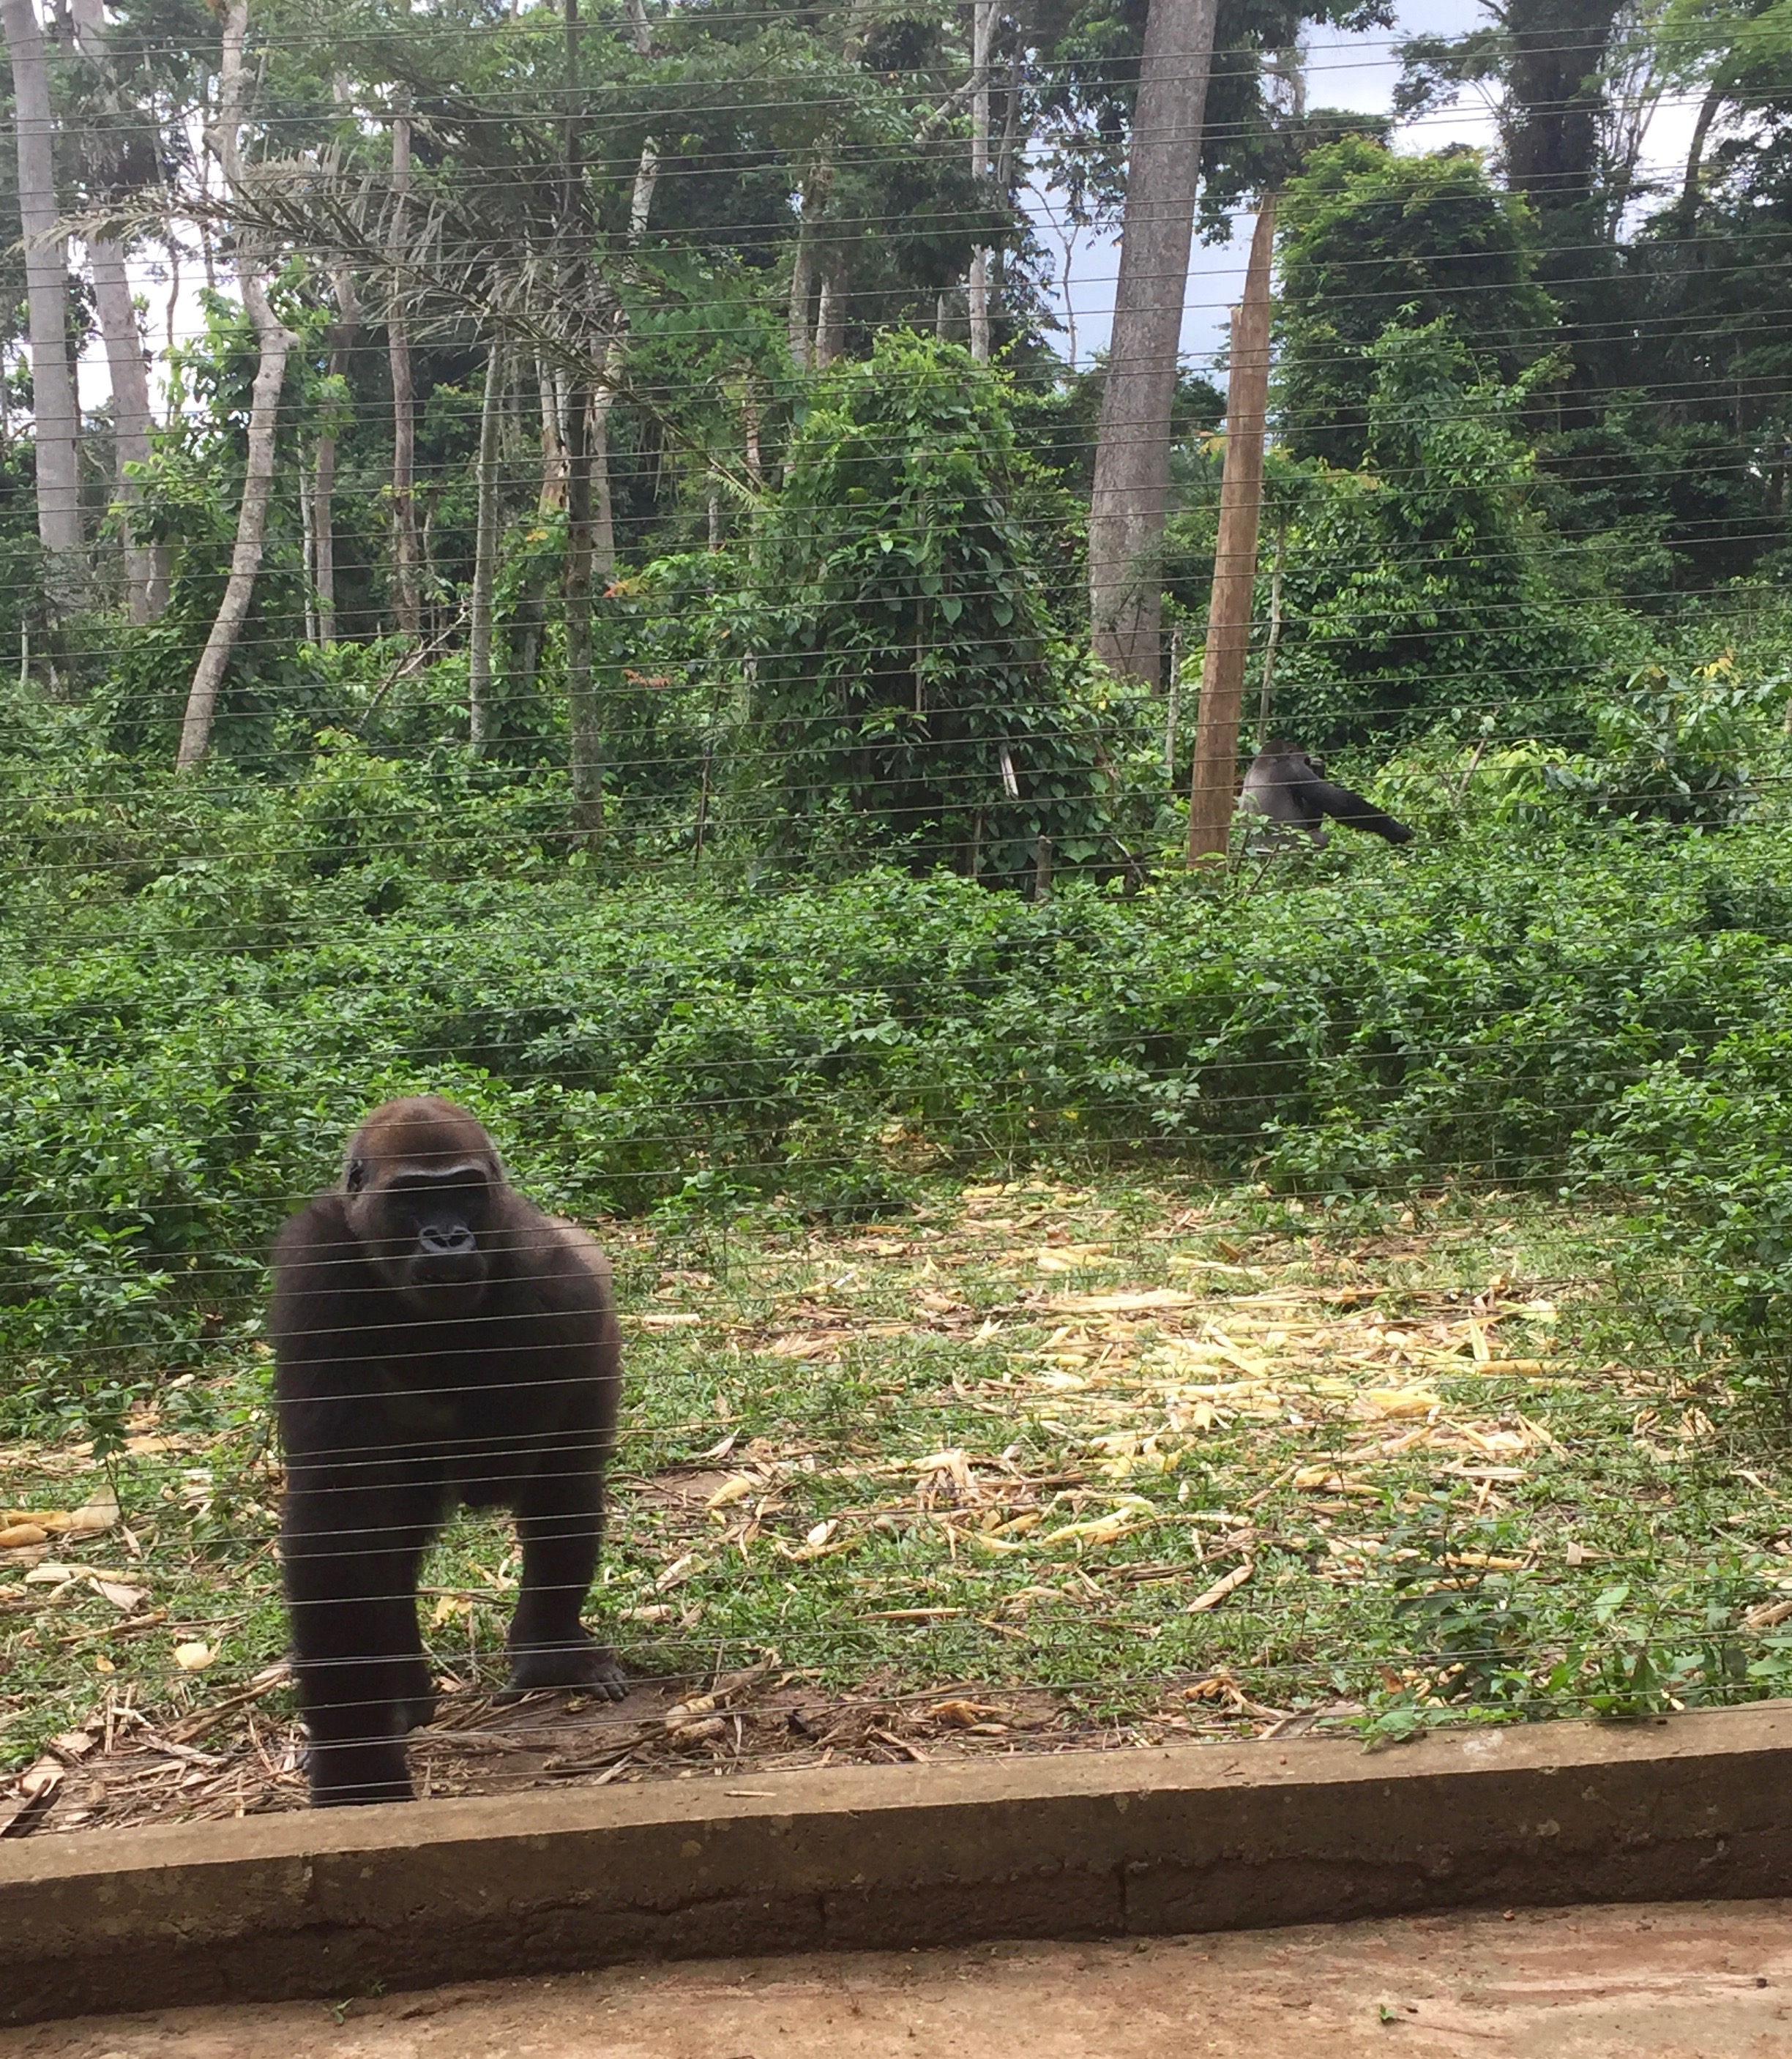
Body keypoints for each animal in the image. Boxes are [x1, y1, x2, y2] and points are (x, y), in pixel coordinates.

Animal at [267, 1095, 626, 1804]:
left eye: (463, 1192)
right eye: (412, 1200)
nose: (449, 1238)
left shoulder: (560, 1279)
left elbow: (508, 1465)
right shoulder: (315, 1268)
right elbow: (340, 1518)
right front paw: (356, 1765)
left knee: (564, 1484)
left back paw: (547, 1650)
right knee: (392, 1538)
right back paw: (404, 1696)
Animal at [1236, 741, 1416, 844]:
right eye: (1305, 760)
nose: (1310, 763)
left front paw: (1319, 768)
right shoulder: (1294, 769)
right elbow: (1341, 804)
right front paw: (1394, 829)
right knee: (1321, 839)